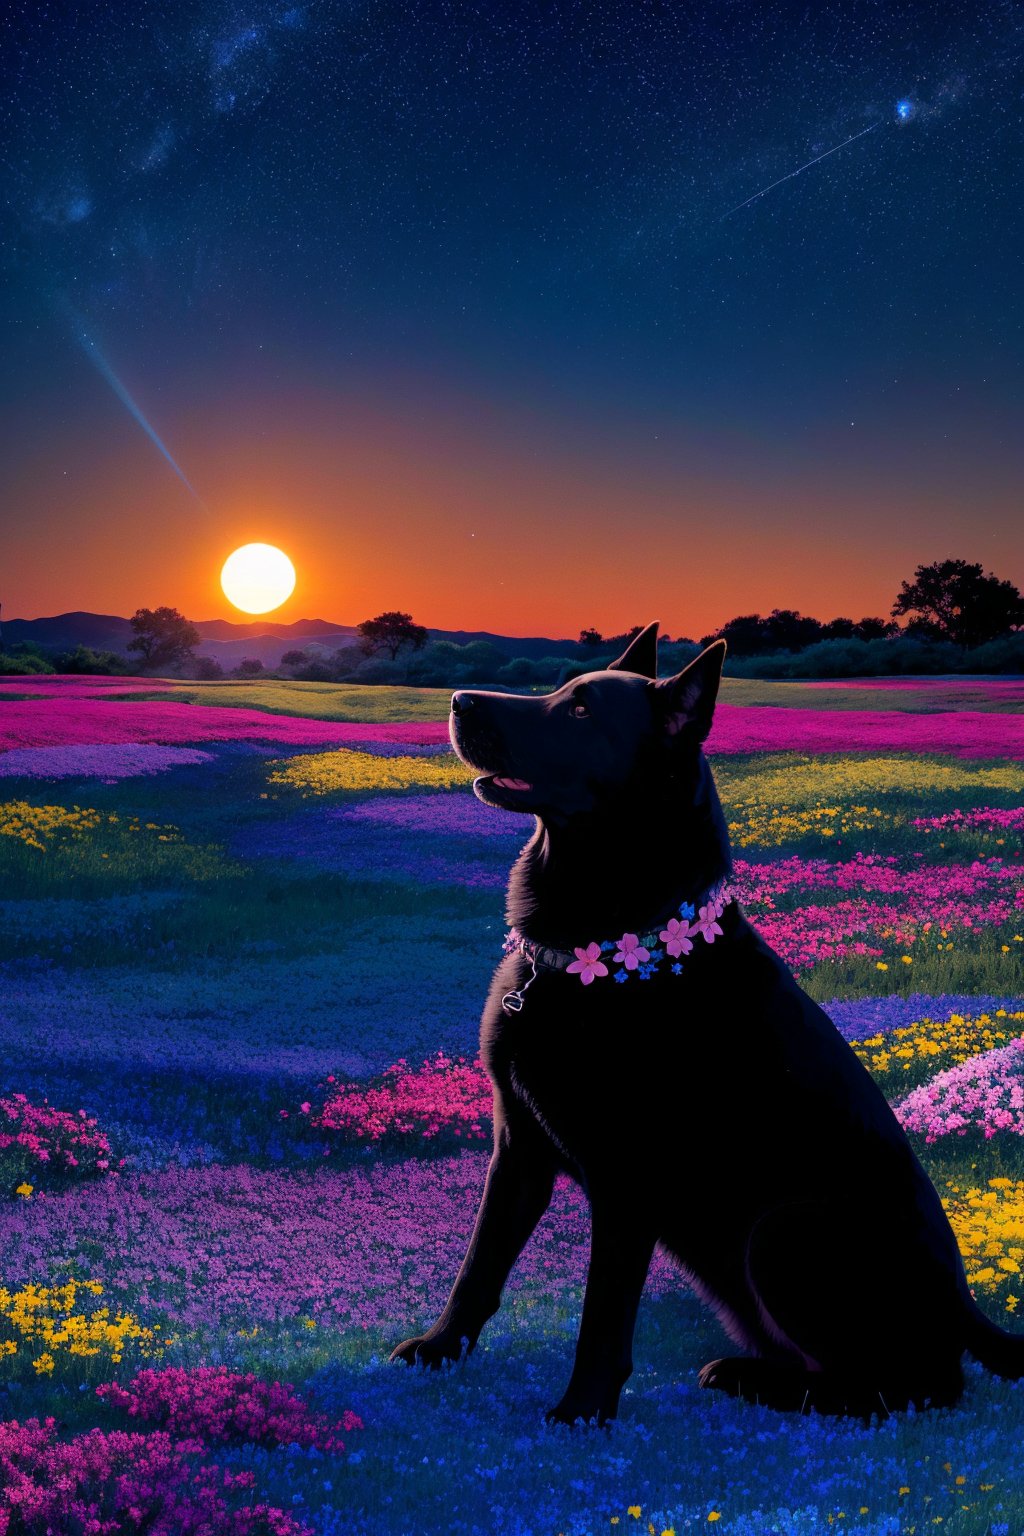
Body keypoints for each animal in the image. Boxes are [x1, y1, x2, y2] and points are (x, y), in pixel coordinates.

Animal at [388, 623, 1019, 1425]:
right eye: (559, 689)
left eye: (582, 711)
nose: (458, 700)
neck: (607, 946)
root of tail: (969, 1309)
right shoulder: (518, 1147)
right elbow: (480, 1263)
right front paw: (439, 1348)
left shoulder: (628, 1176)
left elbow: (604, 1309)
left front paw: (581, 1413)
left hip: (783, 1231)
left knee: (912, 1388)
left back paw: (761, 1383)